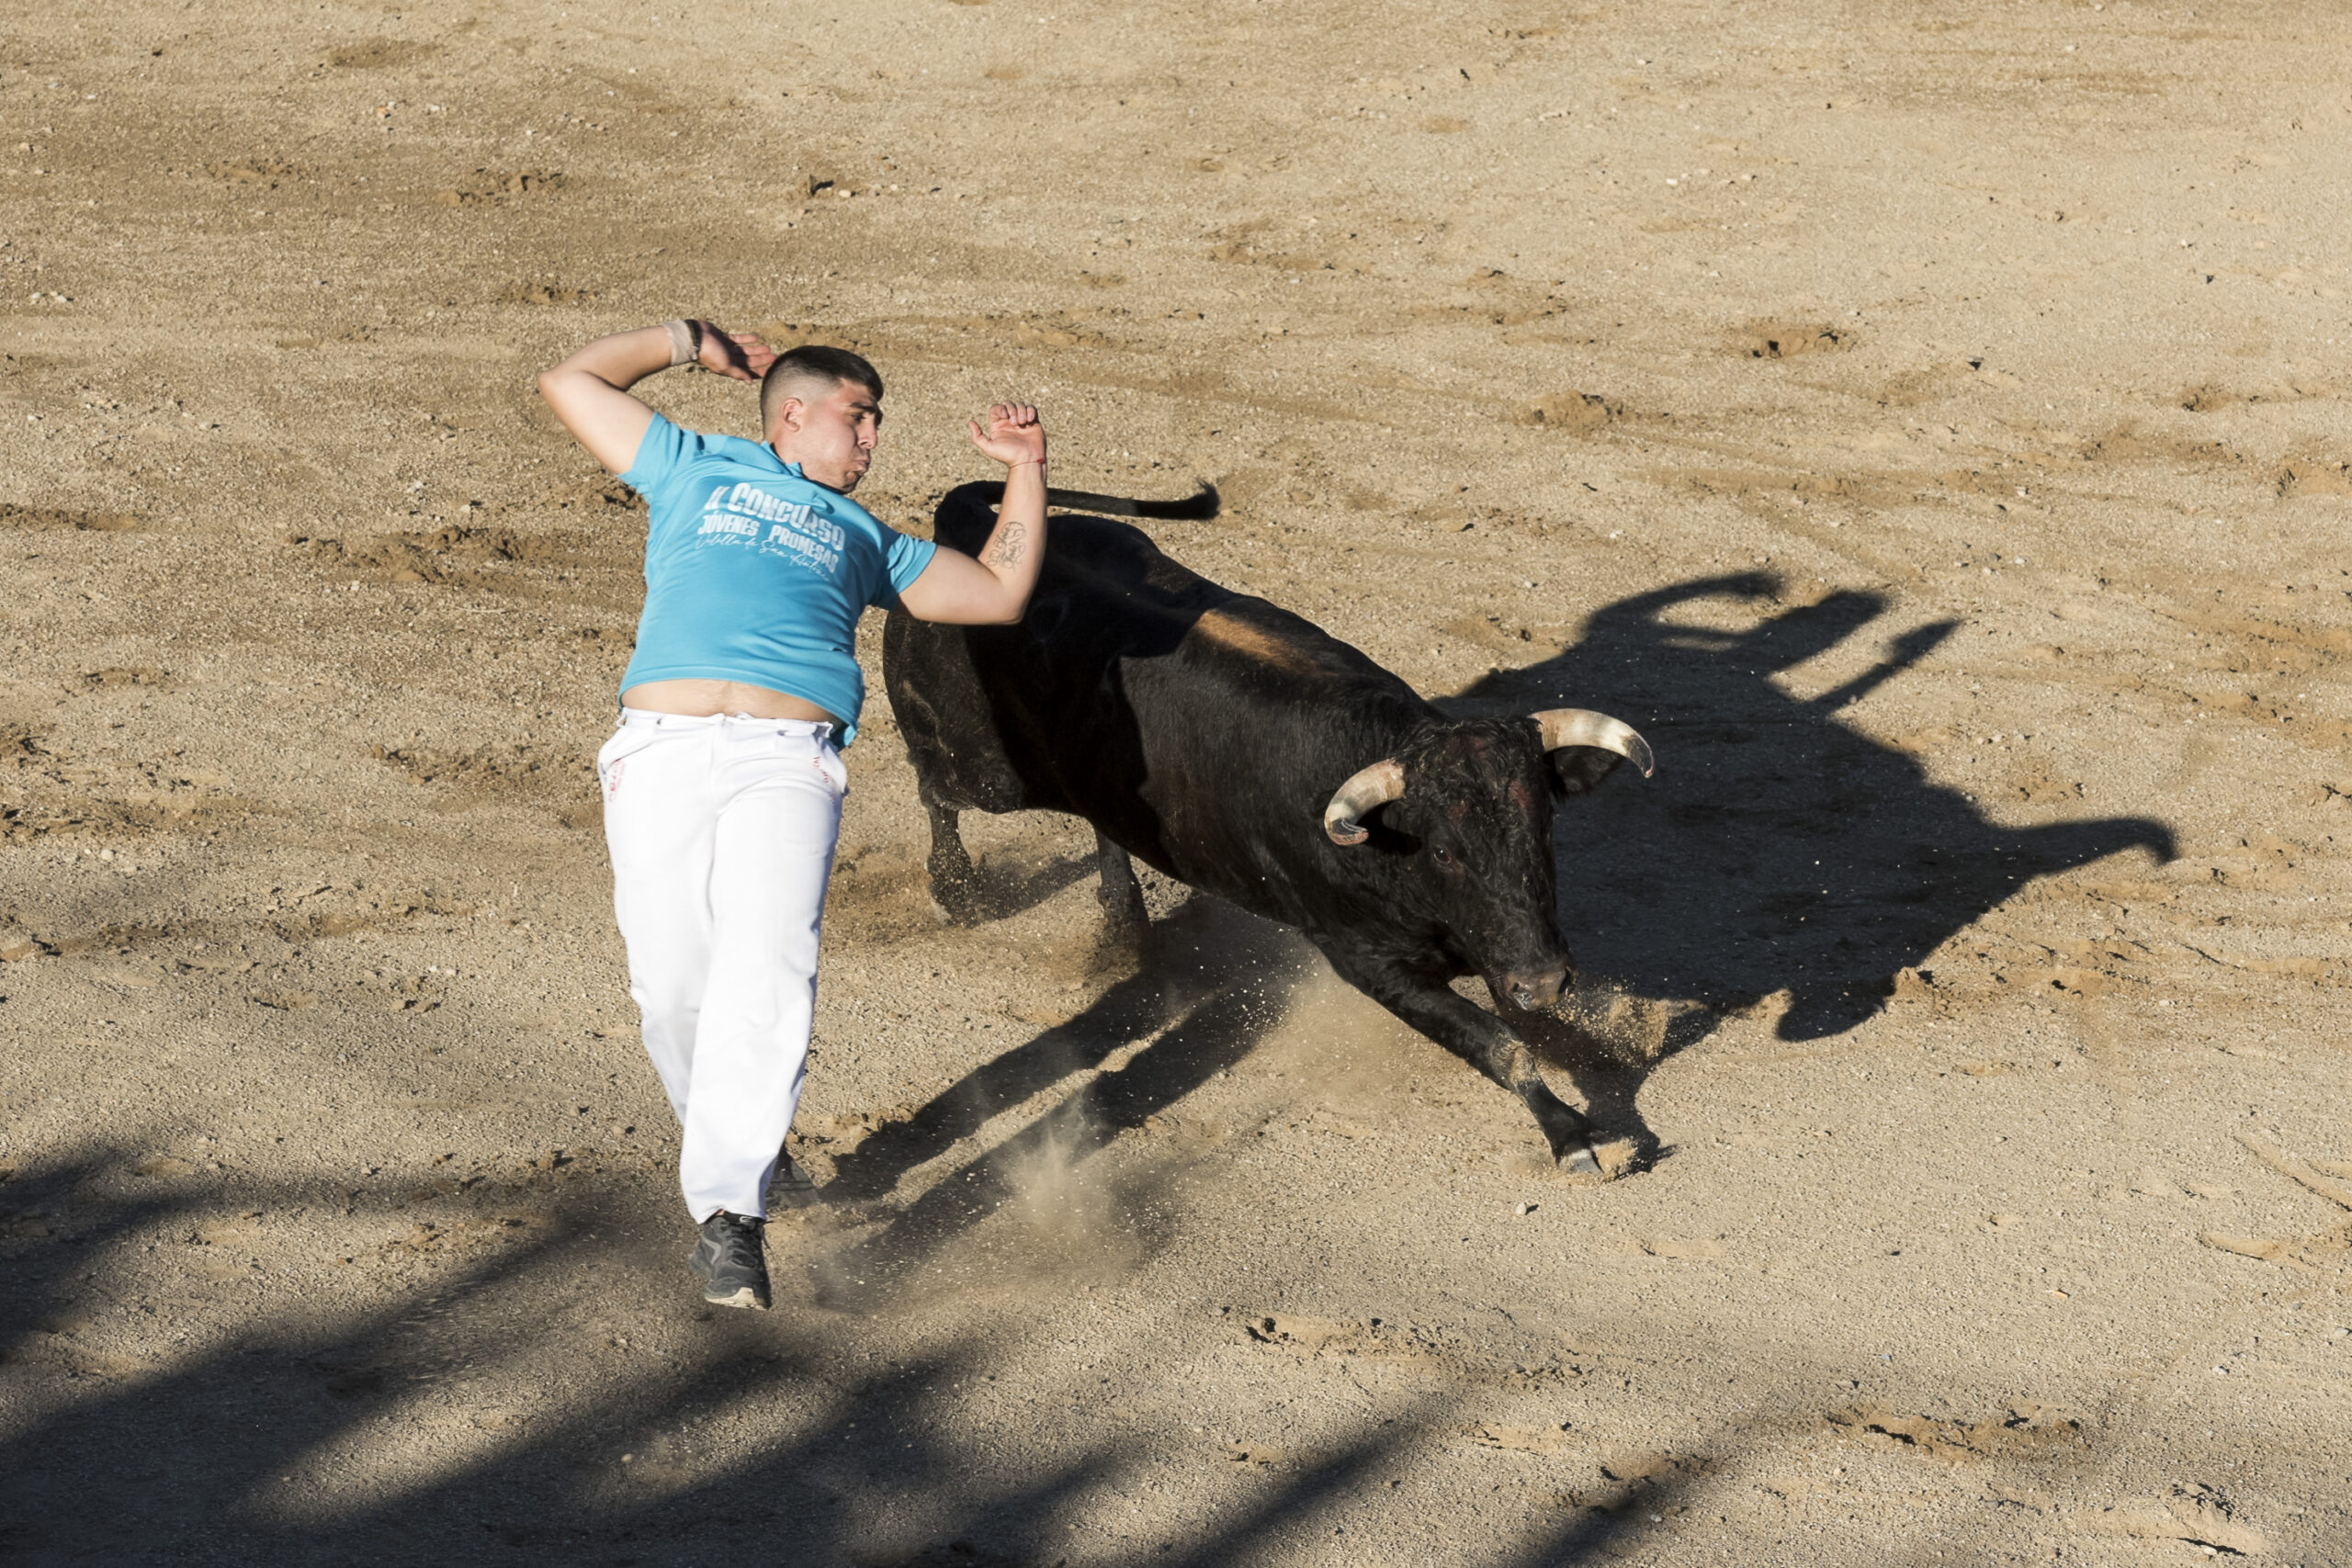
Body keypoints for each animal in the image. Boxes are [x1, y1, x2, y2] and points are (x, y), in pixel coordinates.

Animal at [884, 484, 1656, 1170]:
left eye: (1544, 826)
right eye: (1443, 848)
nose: (1543, 981)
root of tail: (969, 522)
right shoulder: (1367, 962)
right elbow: (1500, 1043)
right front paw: (1572, 1135)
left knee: (1103, 825)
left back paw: (1123, 922)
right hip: (988, 771)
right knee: (934, 785)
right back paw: (954, 889)